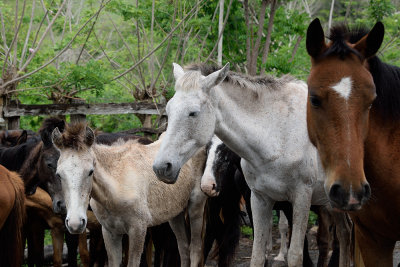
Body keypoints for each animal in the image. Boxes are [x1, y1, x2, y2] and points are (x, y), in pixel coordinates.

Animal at [52, 124, 208, 267]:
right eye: (58, 174)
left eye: (90, 171)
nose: (75, 224)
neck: (115, 189)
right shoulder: (110, 232)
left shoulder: (138, 230)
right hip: (175, 213)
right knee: (183, 247)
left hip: (196, 206)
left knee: (195, 247)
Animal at [153, 63, 350, 267]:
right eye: (168, 110)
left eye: (193, 113)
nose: (162, 167)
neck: (278, 134)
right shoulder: (259, 199)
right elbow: (257, 255)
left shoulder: (301, 198)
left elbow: (296, 255)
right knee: (345, 233)